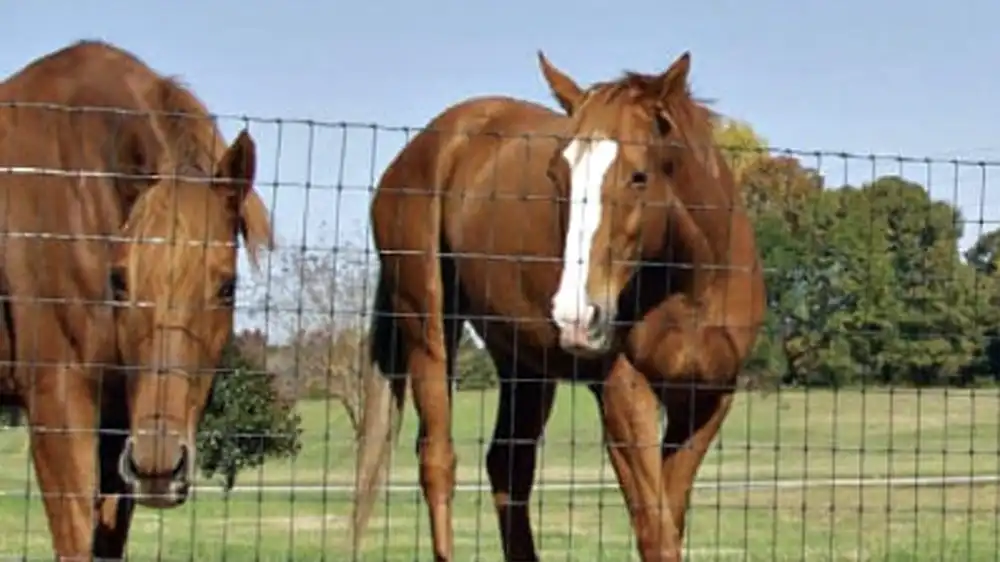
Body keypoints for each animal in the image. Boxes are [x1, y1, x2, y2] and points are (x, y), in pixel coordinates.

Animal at [352, 50, 766, 561]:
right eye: (557, 174)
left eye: (639, 176)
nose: (576, 316)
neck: (693, 288)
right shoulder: (623, 392)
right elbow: (657, 532)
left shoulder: (707, 401)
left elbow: (669, 520)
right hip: (428, 328)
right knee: (438, 460)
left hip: (523, 363)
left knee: (508, 467)